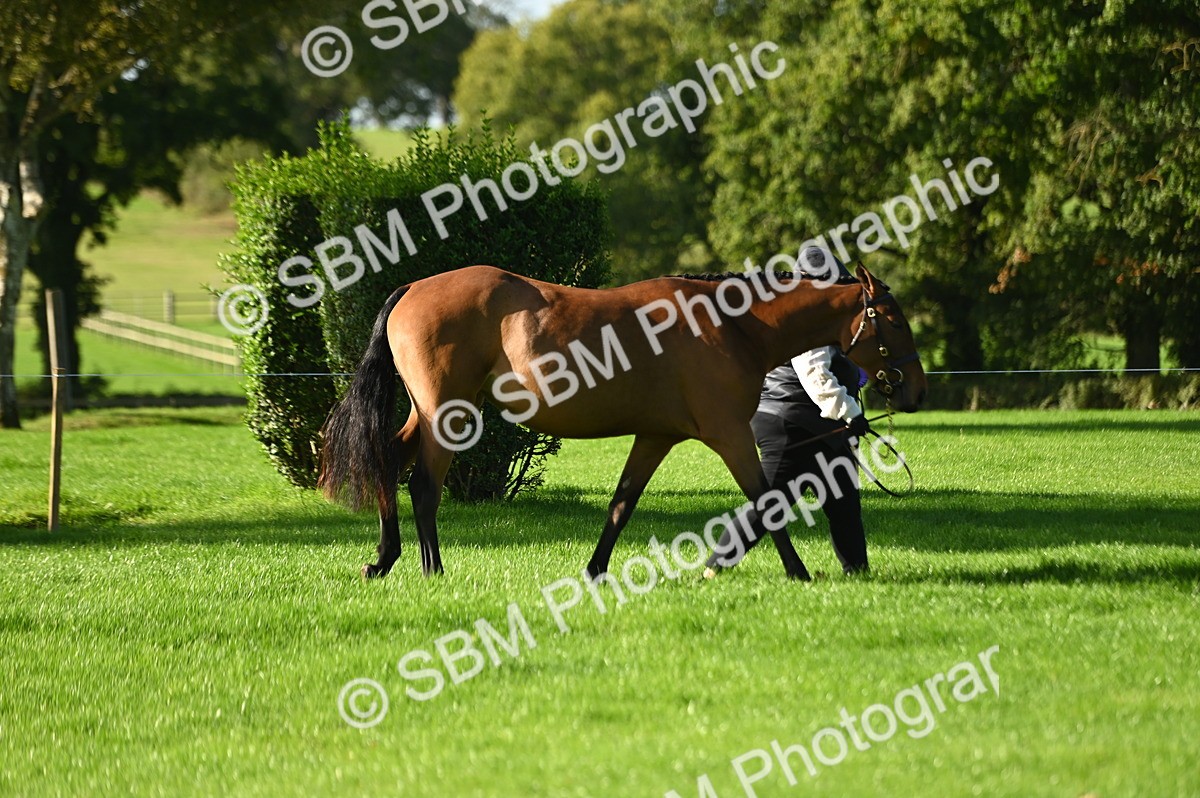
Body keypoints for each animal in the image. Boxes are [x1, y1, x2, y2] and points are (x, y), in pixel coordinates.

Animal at [318, 262, 926, 581]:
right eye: (893, 320)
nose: (916, 389)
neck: (731, 326)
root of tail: (413, 288)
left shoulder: (655, 437)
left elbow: (621, 504)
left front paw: (594, 571)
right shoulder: (729, 435)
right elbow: (765, 500)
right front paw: (798, 572)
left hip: (427, 414)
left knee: (387, 461)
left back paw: (384, 560)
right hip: (447, 414)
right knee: (422, 483)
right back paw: (431, 567)